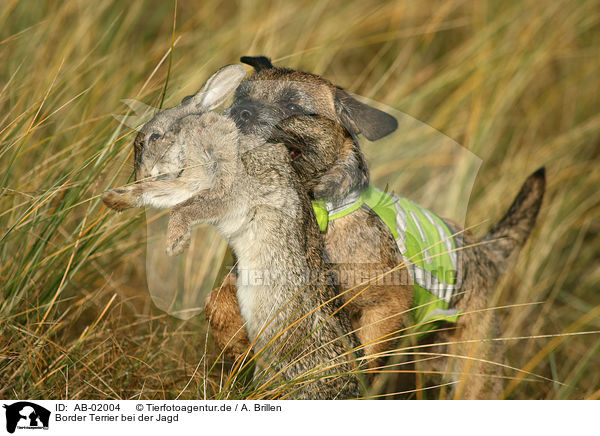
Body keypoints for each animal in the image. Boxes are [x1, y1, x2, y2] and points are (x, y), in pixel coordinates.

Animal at [204, 57, 548, 398]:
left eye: (293, 106)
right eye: (240, 95)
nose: (240, 111)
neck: (320, 210)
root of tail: (482, 251)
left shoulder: (387, 304)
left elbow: (366, 352)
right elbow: (218, 300)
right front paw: (236, 344)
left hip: (475, 376)